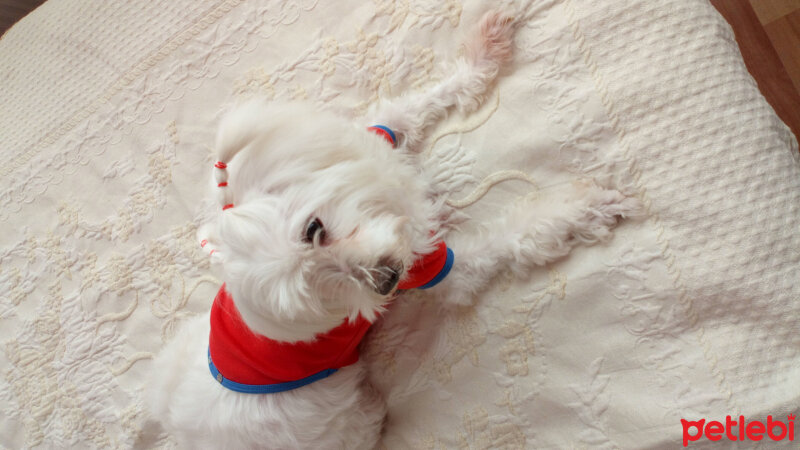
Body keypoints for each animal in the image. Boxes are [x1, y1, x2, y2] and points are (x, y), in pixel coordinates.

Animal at [145, 10, 644, 450]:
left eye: (313, 229)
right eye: (318, 294)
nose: (386, 280)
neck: (391, 207)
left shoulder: (379, 136)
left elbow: (423, 100)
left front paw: (487, 48)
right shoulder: (440, 269)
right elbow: (515, 237)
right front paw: (590, 206)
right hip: (330, 409)